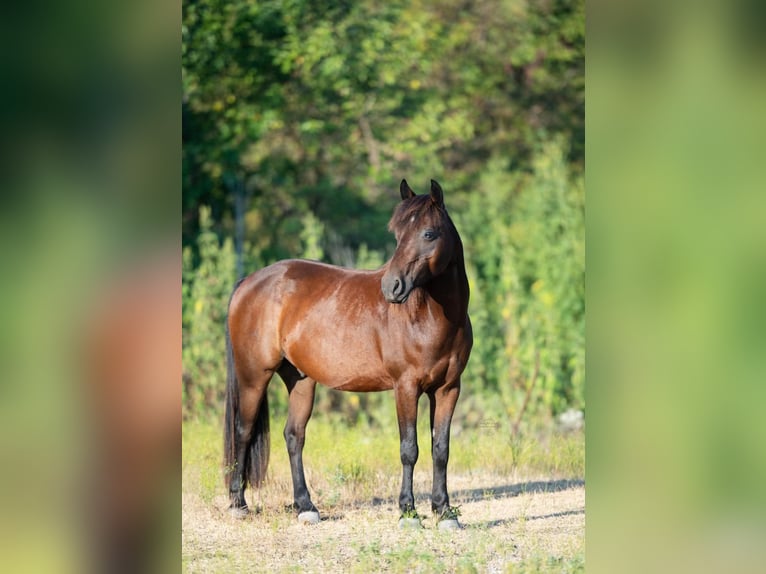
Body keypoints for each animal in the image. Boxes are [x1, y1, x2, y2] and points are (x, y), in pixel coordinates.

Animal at [223, 179, 472, 528]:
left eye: (428, 233)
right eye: (397, 233)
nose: (391, 287)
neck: (428, 317)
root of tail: (249, 282)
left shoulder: (449, 388)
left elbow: (441, 448)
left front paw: (444, 511)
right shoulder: (406, 387)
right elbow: (409, 448)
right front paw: (408, 512)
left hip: (300, 380)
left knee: (294, 436)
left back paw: (306, 506)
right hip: (253, 376)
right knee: (243, 431)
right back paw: (238, 504)